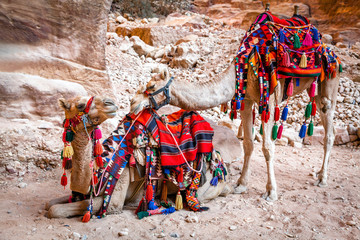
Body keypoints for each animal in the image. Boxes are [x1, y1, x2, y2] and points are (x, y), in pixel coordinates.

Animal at [46, 95, 233, 218]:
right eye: (79, 105)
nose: (110, 103)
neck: (102, 168)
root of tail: (220, 163)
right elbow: (52, 203)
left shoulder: (115, 198)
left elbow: (57, 210)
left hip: (205, 183)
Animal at [130, 11, 340, 201]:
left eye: (151, 87)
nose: (133, 103)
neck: (243, 66)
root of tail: (331, 51)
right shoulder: (246, 100)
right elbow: (247, 143)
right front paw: (240, 184)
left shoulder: (269, 99)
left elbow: (267, 147)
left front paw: (271, 192)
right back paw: (320, 174)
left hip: (330, 80)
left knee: (329, 129)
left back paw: (322, 178)